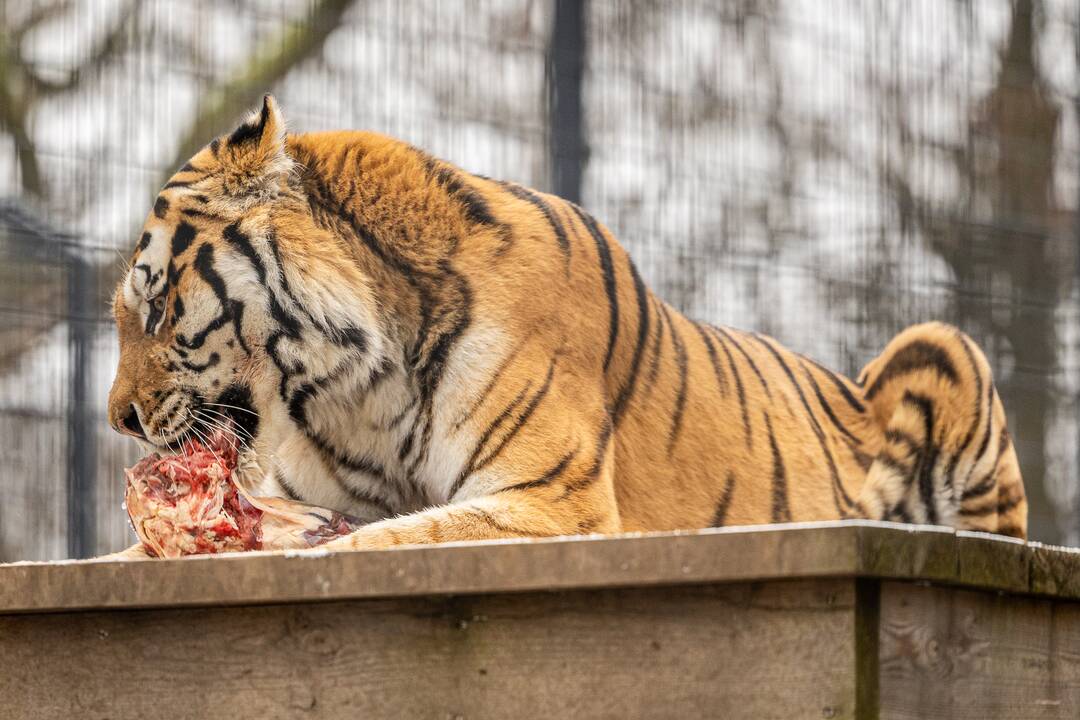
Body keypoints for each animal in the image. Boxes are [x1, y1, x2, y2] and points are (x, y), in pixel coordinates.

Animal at [105, 95, 1023, 561]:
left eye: (154, 308)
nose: (120, 419)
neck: (353, 389)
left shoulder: (550, 499)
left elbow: (382, 540)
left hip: (944, 350)